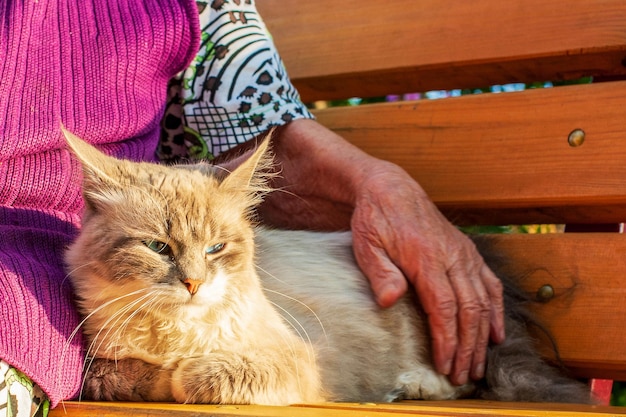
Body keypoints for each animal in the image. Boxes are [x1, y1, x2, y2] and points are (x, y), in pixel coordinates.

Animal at [62, 128, 588, 404]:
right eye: (158, 247)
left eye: (216, 248)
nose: (194, 284)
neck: (177, 337)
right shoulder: (102, 364)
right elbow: (125, 375)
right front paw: (163, 376)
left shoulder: (300, 357)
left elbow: (205, 373)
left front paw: (184, 374)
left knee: (463, 383)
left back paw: (410, 387)